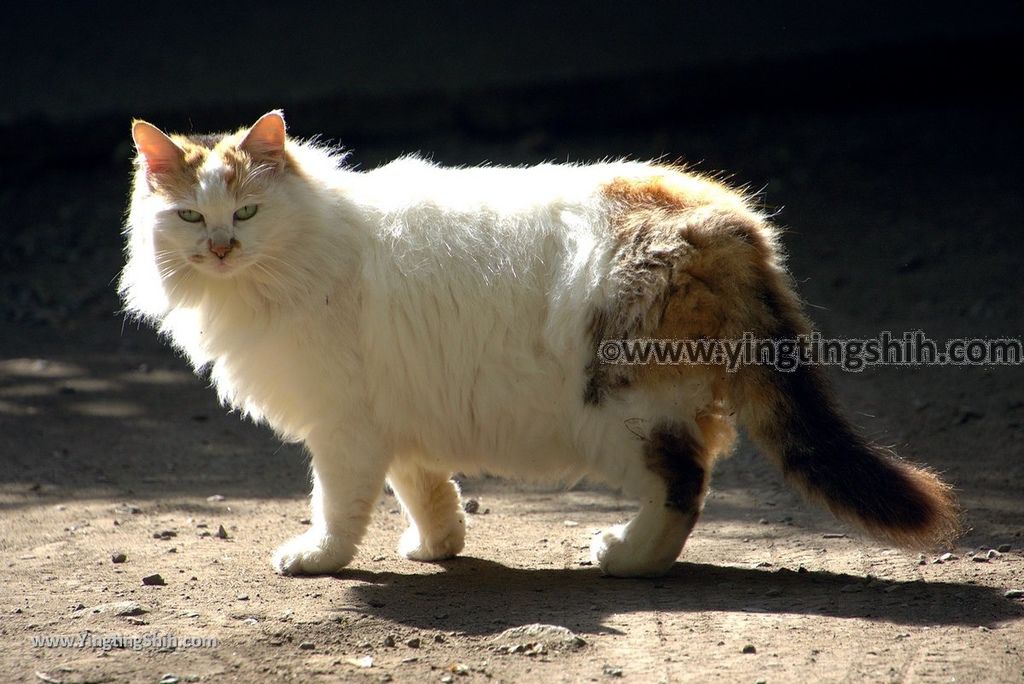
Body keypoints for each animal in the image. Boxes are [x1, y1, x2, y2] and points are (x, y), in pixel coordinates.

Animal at [119, 111, 958, 577]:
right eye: (190, 217)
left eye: (247, 212)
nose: (220, 247)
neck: (302, 248)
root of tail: (721, 213)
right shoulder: (396, 416)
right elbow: (425, 487)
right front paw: (439, 545)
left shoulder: (342, 427)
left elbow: (337, 506)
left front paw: (319, 559)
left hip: (623, 406)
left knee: (684, 483)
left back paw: (628, 560)